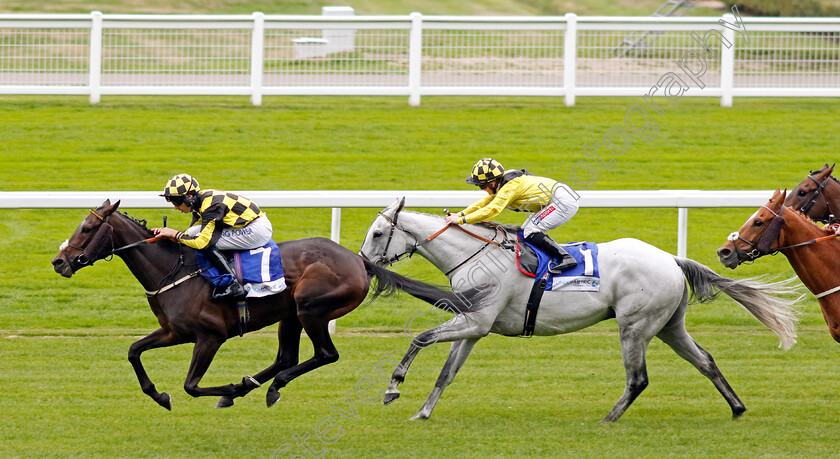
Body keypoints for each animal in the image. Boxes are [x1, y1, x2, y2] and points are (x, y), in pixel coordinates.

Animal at [50, 199, 480, 412]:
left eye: (87, 228)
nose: (58, 261)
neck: (174, 268)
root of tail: (359, 260)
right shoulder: (174, 332)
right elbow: (133, 351)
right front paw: (159, 394)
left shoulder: (210, 336)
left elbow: (191, 385)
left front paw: (222, 386)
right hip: (289, 315)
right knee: (287, 357)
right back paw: (254, 385)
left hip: (310, 308)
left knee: (324, 355)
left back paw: (262, 387)